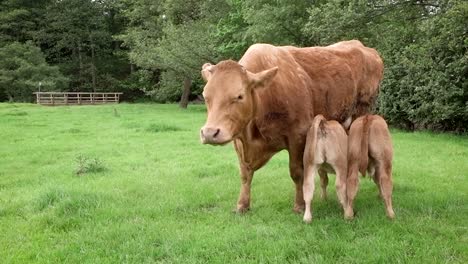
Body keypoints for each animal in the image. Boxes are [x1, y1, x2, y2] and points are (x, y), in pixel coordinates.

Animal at [199, 40, 382, 213]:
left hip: (360, 116)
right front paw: (242, 205)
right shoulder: (239, 138)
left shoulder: (298, 135)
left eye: (239, 96)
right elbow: (245, 174)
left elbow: (296, 172)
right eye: (205, 95)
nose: (209, 133)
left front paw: (299, 205)